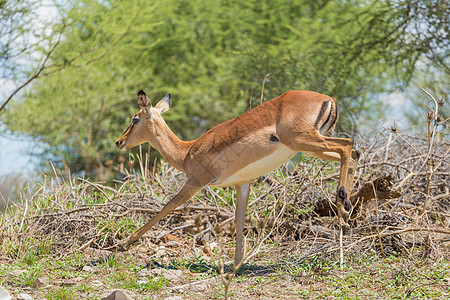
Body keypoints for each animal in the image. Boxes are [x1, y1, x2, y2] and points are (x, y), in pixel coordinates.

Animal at [115, 89, 358, 270]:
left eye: (135, 119)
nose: (119, 141)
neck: (186, 153)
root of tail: (328, 99)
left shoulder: (194, 183)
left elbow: (165, 208)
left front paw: (122, 244)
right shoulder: (243, 184)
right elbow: (240, 219)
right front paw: (236, 265)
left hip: (304, 141)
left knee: (347, 145)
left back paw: (343, 213)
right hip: (310, 146)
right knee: (354, 153)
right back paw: (347, 211)